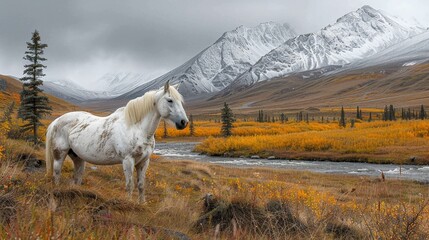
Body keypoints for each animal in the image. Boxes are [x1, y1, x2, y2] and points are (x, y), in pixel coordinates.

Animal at [45, 81, 189, 202]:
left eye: (181, 101)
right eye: (170, 100)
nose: (184, 122)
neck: (137, 128)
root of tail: (56, 121)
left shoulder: (144, 162)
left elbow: (141, 185)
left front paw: (142, 204)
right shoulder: (128, 160)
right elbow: (130, 184)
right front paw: (130, 203)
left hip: (78, 157)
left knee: (77, 176)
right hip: (59, 155)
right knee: (56, 173)